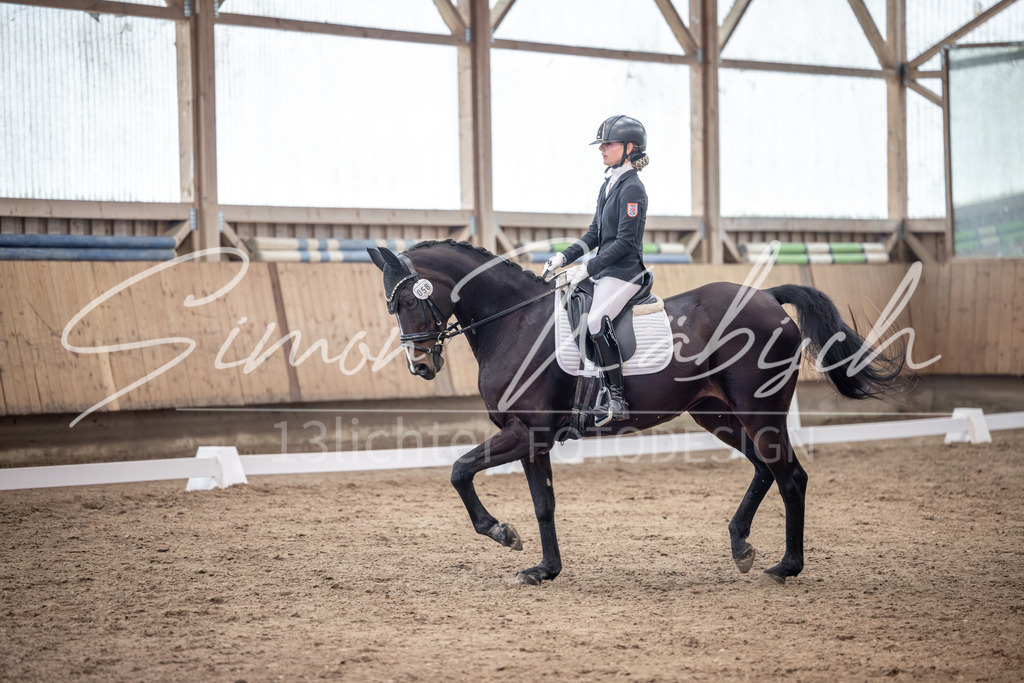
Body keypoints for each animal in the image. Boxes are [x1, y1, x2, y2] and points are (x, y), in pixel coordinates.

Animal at [367, 239, 905, 585]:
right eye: (391, 305)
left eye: (408, 299)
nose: (421, 365)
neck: (515, 323)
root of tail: (767, 297)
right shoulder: (532, 438)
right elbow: (543, 504)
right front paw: (545, 569)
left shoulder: (527, 431)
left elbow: (460, 470)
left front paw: (502, 533)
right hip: (718, 416)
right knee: (764, 469)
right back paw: (741, 546)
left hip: (759, 411)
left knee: (790, 475)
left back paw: (786, 566)